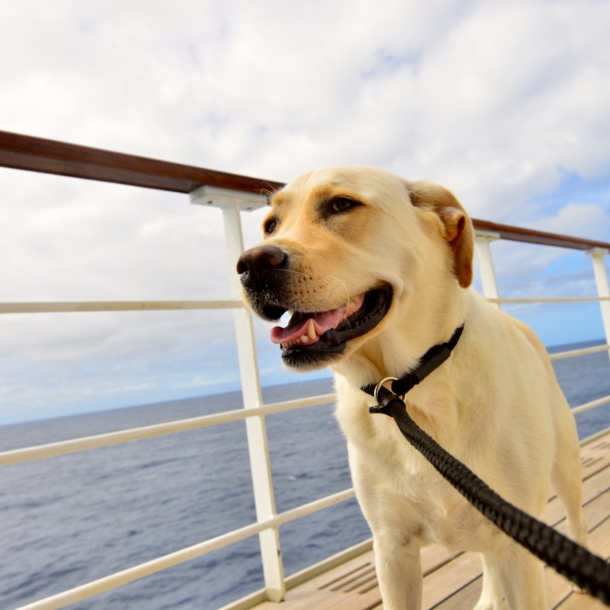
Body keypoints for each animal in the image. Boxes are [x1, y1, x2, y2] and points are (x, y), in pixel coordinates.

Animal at [236, 166, 584, 608]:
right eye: (270, 225)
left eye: (341, 204)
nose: (250, 264)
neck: (408, 392)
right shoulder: (391, 550)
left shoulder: (518, 544)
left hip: (565, 466)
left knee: (576, 518)